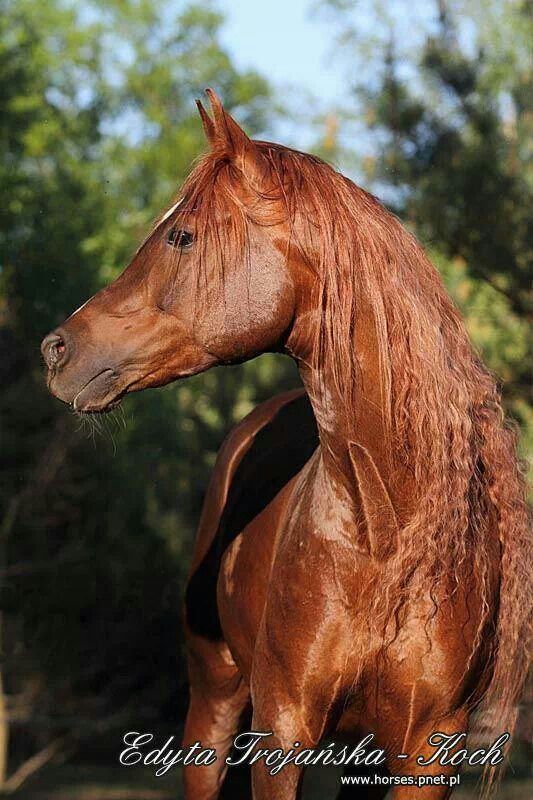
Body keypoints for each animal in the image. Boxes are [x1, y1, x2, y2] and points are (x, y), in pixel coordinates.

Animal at [42, 90, 530, 799]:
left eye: (181, 235)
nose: (57, 349)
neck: (387, 536)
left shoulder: (427, 748)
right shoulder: (284, 725)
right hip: (215, 703)